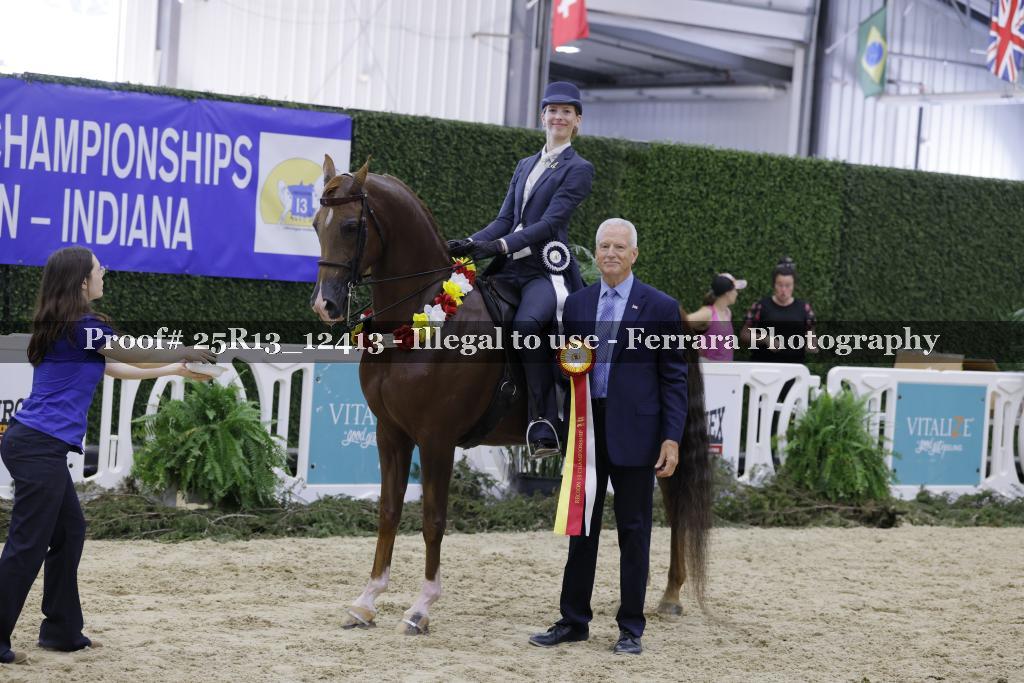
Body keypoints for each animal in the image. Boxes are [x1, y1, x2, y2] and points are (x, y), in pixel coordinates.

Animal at [310, 154, 713, 635]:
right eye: (316, 224)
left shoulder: (436, 438)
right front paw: (367, 601)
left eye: (352, 226)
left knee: (673, 503)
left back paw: (670, 596)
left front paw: (421, 608)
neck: (421, 323)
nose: (326, 306)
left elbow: (432, 519)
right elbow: (388, 512)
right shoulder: (390, 433)